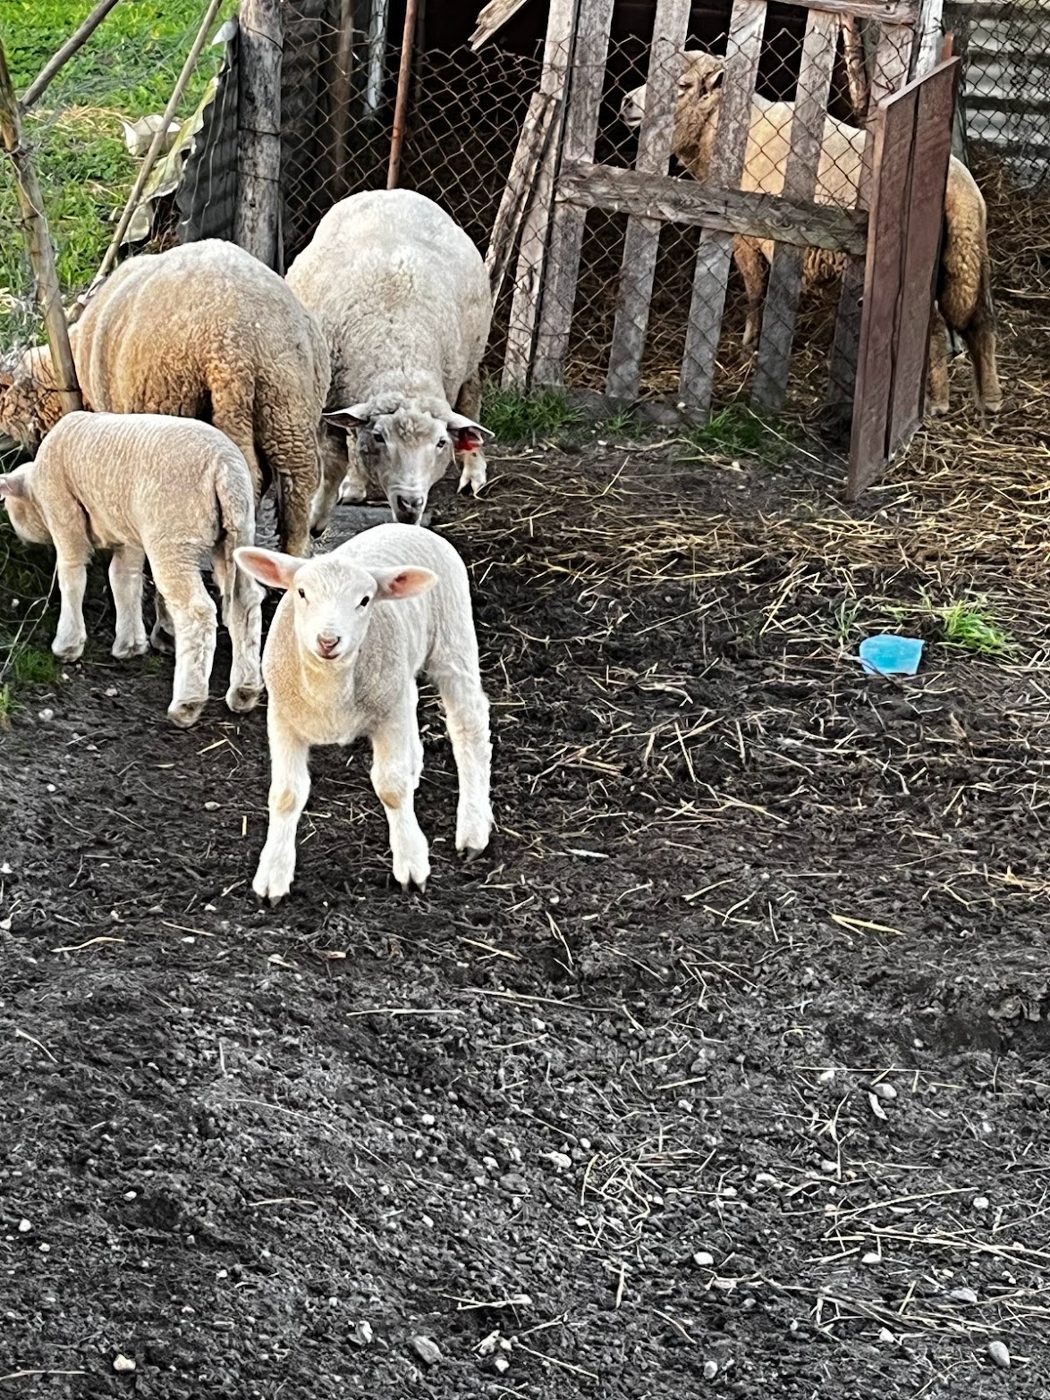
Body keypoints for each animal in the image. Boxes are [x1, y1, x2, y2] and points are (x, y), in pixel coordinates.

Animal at [0, 411, 264, 729]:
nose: (21, 539)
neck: (36, 491)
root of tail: (224, 466)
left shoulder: (63, 512)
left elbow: (72, 573)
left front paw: (67, 644)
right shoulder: (127, 533)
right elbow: (124, 580)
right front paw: (130, 644)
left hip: (174, 536)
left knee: (196, 612)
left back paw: (187, 703)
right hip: (239, 531)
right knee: (245, 603)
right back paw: (245, 691)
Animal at [234, 523, 493, 902]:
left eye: (365, 600)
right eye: (301, 593)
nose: (328, 641)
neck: (329, 690)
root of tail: (405, 526)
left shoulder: (388, 716)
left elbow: (391, 788)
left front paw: (411, 864)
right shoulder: (282, 719)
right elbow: (285, 795)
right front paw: (273, 875)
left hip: (452, 639)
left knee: (469, 726)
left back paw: (473, 829)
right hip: (399, 674)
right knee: (412, 697)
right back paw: (414, 765)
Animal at [285, 189, 494, 527]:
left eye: (441, 442)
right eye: (380, 437)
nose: (410, 503)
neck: (401, 356)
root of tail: (391, 192)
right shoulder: (327, 402)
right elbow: (333, 460)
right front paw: (316, 517)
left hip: (474, 350)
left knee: (471, 400)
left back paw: (474, 472)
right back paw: (354, 485)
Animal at [621, 51, 1002, 416]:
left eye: (682, 85)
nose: (626, 102)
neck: (724, 130)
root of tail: (963, 193)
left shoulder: (745, 235)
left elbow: (755, 293)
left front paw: (748, 346)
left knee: (932, 325)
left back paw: (937, 402)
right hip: (969, 256)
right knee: (981, 318)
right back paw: (990, 399)